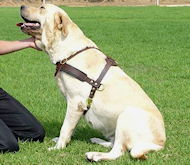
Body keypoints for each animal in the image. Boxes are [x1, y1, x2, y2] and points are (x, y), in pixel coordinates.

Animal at [18, 2, 166, 162]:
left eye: (42, 8)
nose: (21, 6)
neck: (68, 52)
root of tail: (160, 143)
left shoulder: (75, 102)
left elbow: (65, 127)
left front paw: (58, 147)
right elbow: (70, 128)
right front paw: (62, 141)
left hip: (127, 116)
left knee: (118, 151)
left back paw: (95, 155)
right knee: (114, 143)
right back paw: (98, 141)